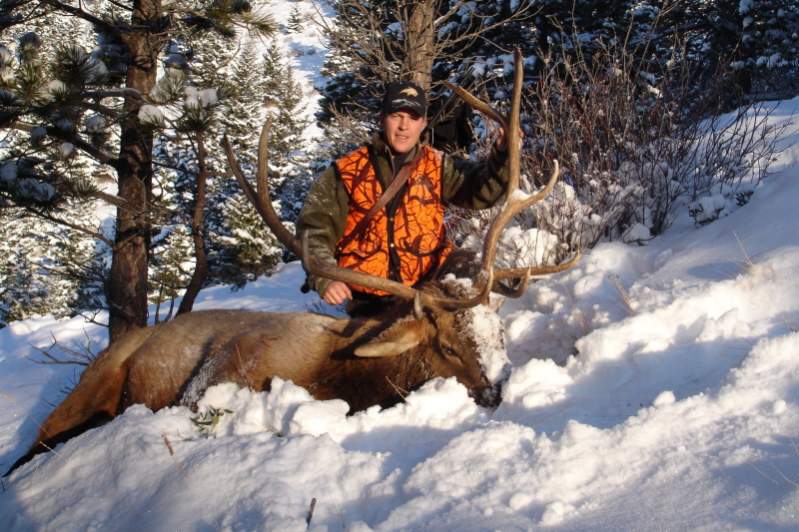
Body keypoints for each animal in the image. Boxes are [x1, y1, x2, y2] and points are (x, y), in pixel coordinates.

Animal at [4, 50, 576, 476]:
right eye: (448, 347)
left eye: (499, 335)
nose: (497, 392)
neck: (344, 380)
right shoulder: (216, 378)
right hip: (90, 385)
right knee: (34, 446)